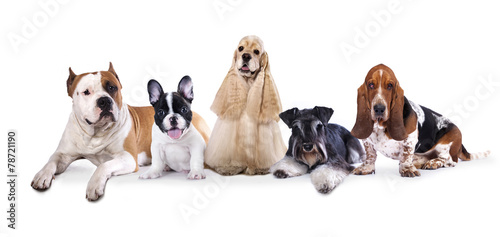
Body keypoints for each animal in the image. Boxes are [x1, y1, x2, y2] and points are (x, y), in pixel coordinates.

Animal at [31, 62, 154, 200]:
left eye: (112, 87)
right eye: (86, 92)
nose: (105, 100)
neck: (94, 134)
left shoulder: (128, 157)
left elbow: (104, 165)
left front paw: (94, 185)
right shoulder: (63, 154)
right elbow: (51, 160)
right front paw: (42, 175)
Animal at [205, 35, 288, 176]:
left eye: (256, 51)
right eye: (241, 48)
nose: (246, 56)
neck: (248, 83)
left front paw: (260, 168)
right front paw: (228, 168)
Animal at [350, 64, 490, 177]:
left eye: (390, 86)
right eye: (371, 85)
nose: (379, 108)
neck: (380, 125)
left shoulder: (410, 138)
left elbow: (406, 154)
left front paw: (407, 169)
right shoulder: (367, 141)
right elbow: (370, 156)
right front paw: (366, 168)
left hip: (446, 144)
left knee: (449, 160)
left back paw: (433, 163)